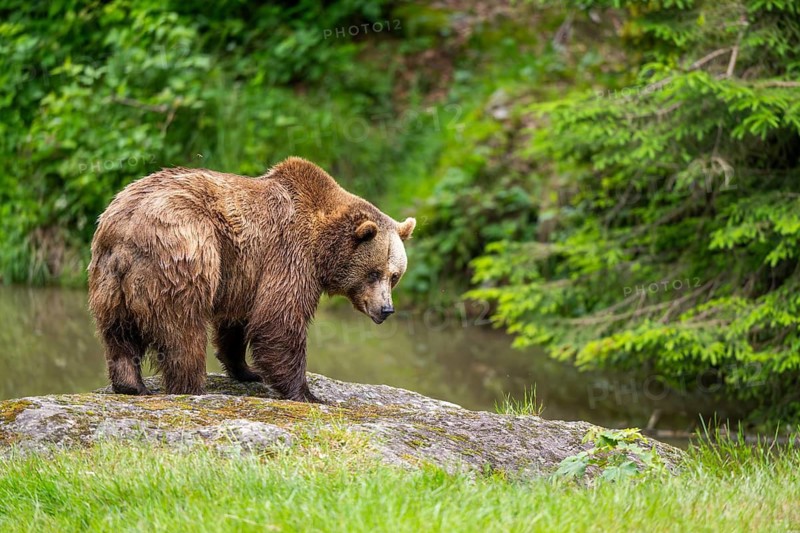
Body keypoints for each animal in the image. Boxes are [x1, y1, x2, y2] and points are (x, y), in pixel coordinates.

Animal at [87, 157, 415, 402]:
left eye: (394, 276)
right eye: (374, 273)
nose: (386, 309)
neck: (322, 244)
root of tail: (124, 231)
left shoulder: (245, 273)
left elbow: (237, 323)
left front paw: (246, 370)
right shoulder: (288, 254)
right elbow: (279, 319)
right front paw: (308, 394)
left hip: (109, 282)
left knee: (117, 334)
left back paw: (131, 385)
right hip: (184, 255)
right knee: (184, 333)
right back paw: (190, 387)